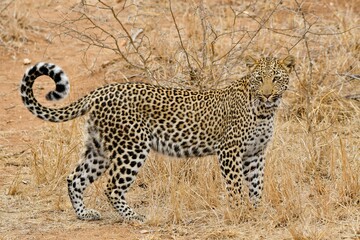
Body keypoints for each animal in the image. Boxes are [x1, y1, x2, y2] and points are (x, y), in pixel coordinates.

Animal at [20, 55, 296, 222]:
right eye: (259, 78)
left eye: (276, 78)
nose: (268, 94)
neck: (264, 111)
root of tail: (101, 91)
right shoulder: (230, 151)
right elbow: (236, 186)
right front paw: (240, 212)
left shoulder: (255, 154)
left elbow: (257, 185)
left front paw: (257, 211)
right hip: (132, 147)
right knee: (112, 187)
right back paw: (134, 217)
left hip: (98, 149)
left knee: (75, 178)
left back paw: (84, 214)